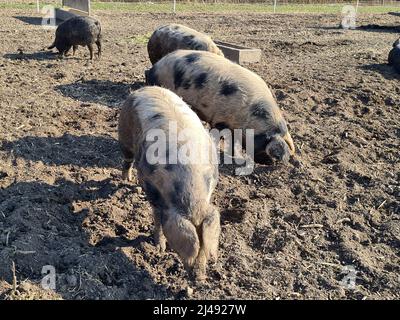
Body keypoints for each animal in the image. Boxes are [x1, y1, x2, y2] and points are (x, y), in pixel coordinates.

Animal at [117, 86, 220, 278]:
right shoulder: (152, 191)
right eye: (192, 248)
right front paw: (160, 248)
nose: (200, 278)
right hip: (124, 134)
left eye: (204, 248)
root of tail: (144, 88)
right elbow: (157, 219)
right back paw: (126, 180)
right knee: (127, 160)